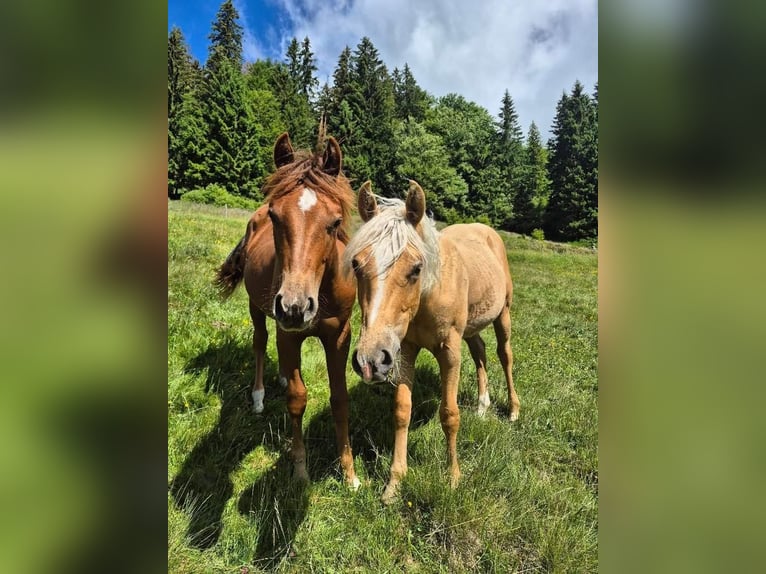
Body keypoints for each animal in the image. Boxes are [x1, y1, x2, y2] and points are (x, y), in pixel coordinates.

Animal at [216, 130, 360, 489]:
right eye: (275, 216)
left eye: (335, 222)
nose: (295, 307)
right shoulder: (288, 332)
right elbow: (297, 399)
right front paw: (299, 470)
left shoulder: (339, 335)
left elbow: (340, 399)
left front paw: (350, 473)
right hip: (258, 309)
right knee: (259, 341)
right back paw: (258, 396)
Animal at [344, 180, 520, 502]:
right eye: (356, 264)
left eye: (416, 268)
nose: (369, 361)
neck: (428, 294)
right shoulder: (403, 351)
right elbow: (402, 410)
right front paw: (394, 483)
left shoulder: (449, 352)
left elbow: (449, 413)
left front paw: (453, 478)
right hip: (472, 327)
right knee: (480, 351)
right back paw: (482, 406)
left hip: (503, 314)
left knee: (505, 356)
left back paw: (513, 409)